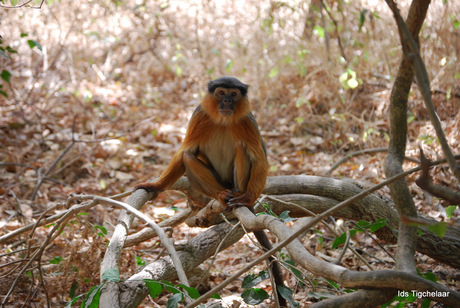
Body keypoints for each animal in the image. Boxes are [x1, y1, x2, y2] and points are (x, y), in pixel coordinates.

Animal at [135, 76, 286, 306]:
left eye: (233, 94)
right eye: (221, 93)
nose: (226, 102)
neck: (223, 120)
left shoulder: (247, 120)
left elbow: (259, 158)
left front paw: (249, 197)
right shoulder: (200, 115)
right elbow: (185, 151)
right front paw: (157, 186)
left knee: (242, 148)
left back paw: (239, 197)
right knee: (189, 156)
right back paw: (221, 196)